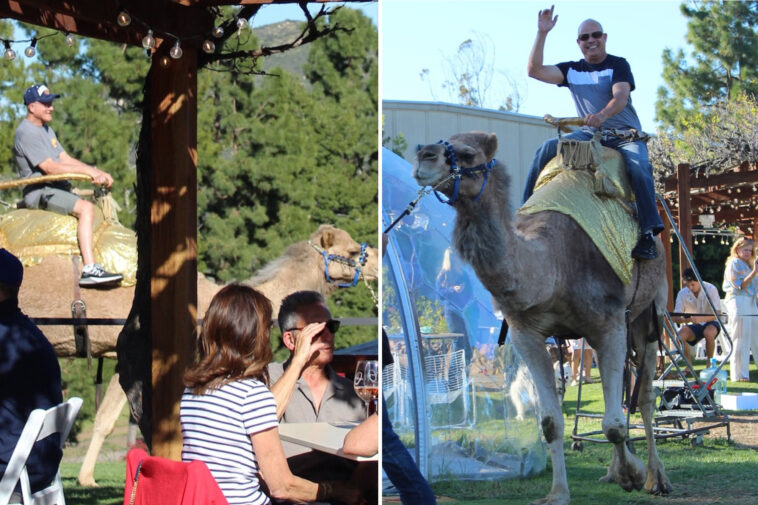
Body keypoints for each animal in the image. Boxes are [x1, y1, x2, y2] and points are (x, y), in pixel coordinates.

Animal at [9, 221, 377, 486]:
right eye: (351, 248)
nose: (373, 258)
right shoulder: (132, 354)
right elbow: (111, 420)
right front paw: (90, 480)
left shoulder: (121, 359)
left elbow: (107, 418)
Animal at [413, 131, 671, 505]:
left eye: (467, 153)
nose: (424, 155)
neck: (552, 265)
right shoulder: (527, 333)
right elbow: (550, 421)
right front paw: (559, 493)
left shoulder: (608, 324)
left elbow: (612, 424)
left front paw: (631, 475)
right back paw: (612, 471)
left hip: (651, 310)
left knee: (647, 396)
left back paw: (656, 478)